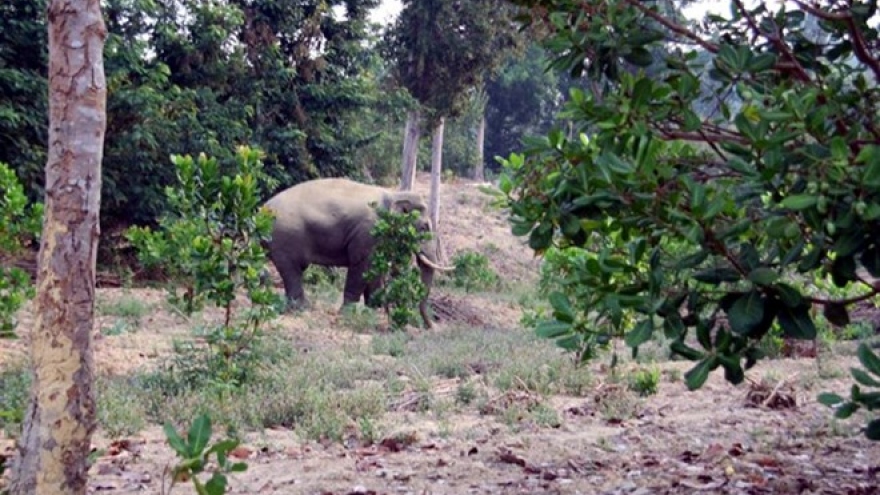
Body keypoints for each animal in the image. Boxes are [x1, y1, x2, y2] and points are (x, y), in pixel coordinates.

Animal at [262, 178, 450, 330]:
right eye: (424, 227)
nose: (430, 327)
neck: (393, 194)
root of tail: (261, 210)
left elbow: (374, 270)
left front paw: (374, 308)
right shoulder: (368, 233)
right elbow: (361, 267)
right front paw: (349, 313)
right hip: (285, 237)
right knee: (292, 270)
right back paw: (302, 308)